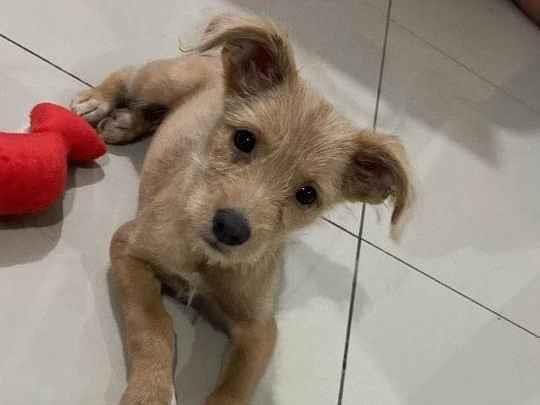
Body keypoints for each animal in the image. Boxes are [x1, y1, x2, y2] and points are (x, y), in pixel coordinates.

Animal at [71, 14, 411, 405]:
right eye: (244, 139)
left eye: (307, 194)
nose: (231, 228)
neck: (205, 261)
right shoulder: (128, 247)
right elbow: (152, 326)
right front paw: (150, 391)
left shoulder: (259, 329)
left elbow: (235, 385)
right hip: (164, 80)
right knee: (131, 74)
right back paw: (97, 101)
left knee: (154, 114)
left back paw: (125, 123)